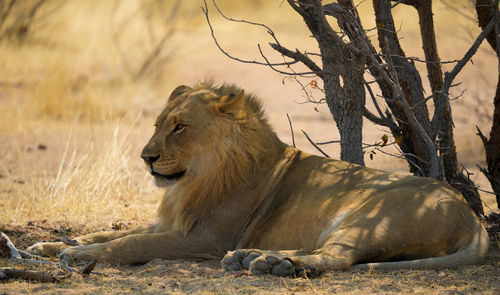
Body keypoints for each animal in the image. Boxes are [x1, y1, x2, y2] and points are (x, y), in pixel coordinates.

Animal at [27, 82, 488, 276]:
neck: (195, 179)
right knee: (322, 249)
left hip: (370, 214)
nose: (146, 158)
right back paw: (255, 257)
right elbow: (110, 232)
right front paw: (49, 245)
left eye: (180, 127)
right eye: (158, 124)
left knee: (336, 257)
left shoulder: (206, 239)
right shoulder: (173, 222)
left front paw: (79, 255)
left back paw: (272, 264)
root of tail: (473, 216)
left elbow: (131, 243)